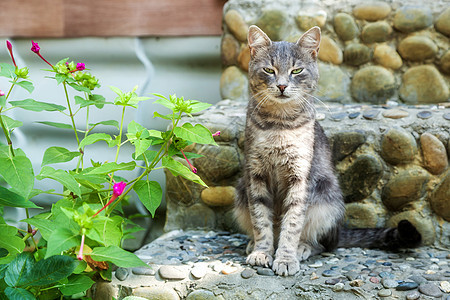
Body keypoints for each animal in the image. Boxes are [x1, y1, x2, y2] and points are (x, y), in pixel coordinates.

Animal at [236, 25, 422, 276]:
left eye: (296, 70)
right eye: (268, 70)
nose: (282, 85)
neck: (279, 125)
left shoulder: (300, 177)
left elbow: (292, 223)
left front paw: (285, 258)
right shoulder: (256, 174)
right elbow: (261, 220)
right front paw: (262, 252)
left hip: (325, 198)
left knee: (323, 243)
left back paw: (302, 248)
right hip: (241, 191)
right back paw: (253, 244)